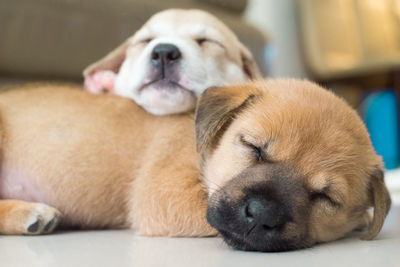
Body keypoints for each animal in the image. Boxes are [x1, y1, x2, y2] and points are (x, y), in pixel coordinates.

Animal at [0, 79, 390, 253]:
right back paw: (31, 214)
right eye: (253, 148)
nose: (261, 214)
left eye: (325, 197)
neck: (201, 148)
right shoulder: (163, 196)